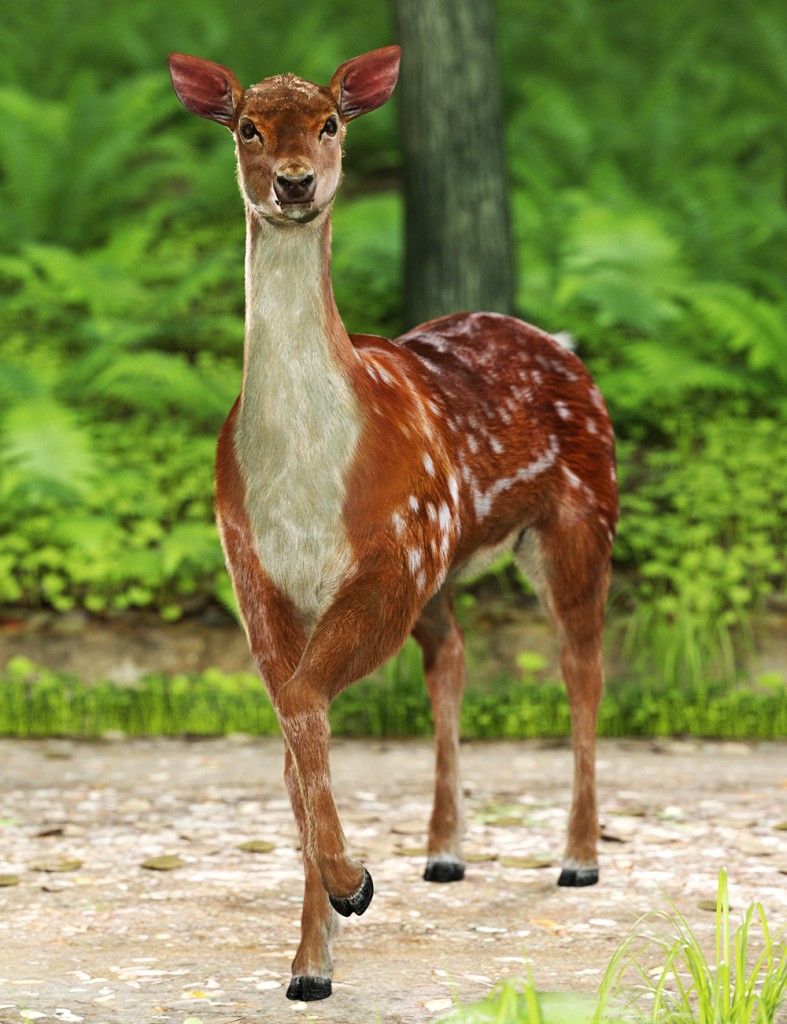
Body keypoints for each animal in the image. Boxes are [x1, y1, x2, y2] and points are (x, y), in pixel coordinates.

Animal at [167, 45, 618, 1002]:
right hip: (441, 562)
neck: (304, 478)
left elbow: (304, 713)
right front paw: (314, 958)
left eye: (331, 121)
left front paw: (350, 892)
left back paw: (578, 859)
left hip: (574, 518)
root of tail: (562, 345)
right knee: (452, 655)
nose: (294, 183)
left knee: (582, 666)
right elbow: (296, 736)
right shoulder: (253, 569)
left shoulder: (384, 556)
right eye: (247, 127)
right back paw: (443, 854)